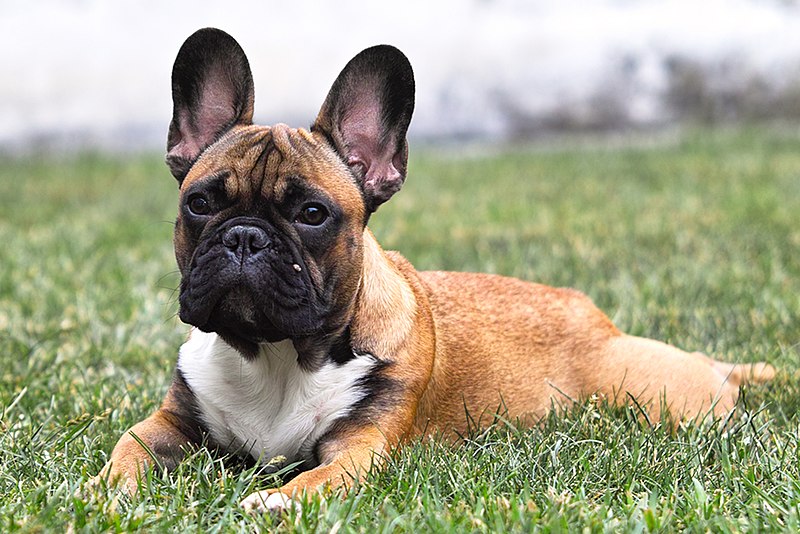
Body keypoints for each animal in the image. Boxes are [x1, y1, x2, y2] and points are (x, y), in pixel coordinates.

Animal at [95, 28, 776, 516]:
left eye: (313, 214)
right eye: (199, 203)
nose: (244, 237)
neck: (276, 353)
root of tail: (604, 325)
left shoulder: (360, 449)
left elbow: (319, 476)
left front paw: (275, 499)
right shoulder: (170, 423)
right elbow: (128, 448)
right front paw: (105, 490)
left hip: (653, 397)